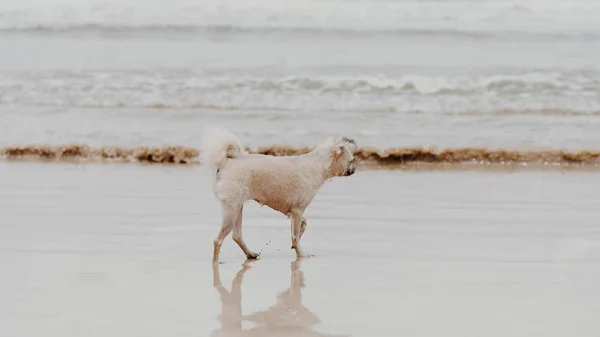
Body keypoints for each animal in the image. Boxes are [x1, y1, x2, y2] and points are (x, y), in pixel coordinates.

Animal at [199, 127, 358, 262]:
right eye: (351, 160)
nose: (354, 169)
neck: (319, 164)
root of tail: (227, 162)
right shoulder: (298, 211)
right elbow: (295, 235)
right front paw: (301, 253)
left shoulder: (293, 212)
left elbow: (301, 227)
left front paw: (297, 239)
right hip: (231, 211)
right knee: (218, 240)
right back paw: (215, 262)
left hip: (237, 207)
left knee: (237, 236)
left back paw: (250, 254)